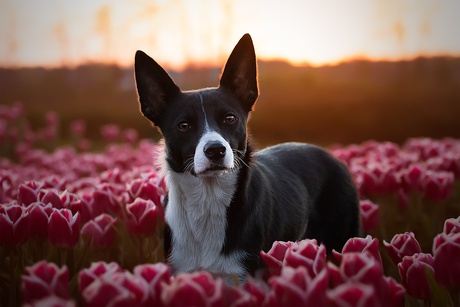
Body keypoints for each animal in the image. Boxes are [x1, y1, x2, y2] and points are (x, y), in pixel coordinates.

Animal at [133, 33, 360, 282]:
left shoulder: (244, 276)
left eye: (230, 118)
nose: (215, 150)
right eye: (183, 125)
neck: (209, 200)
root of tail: (331, 155)